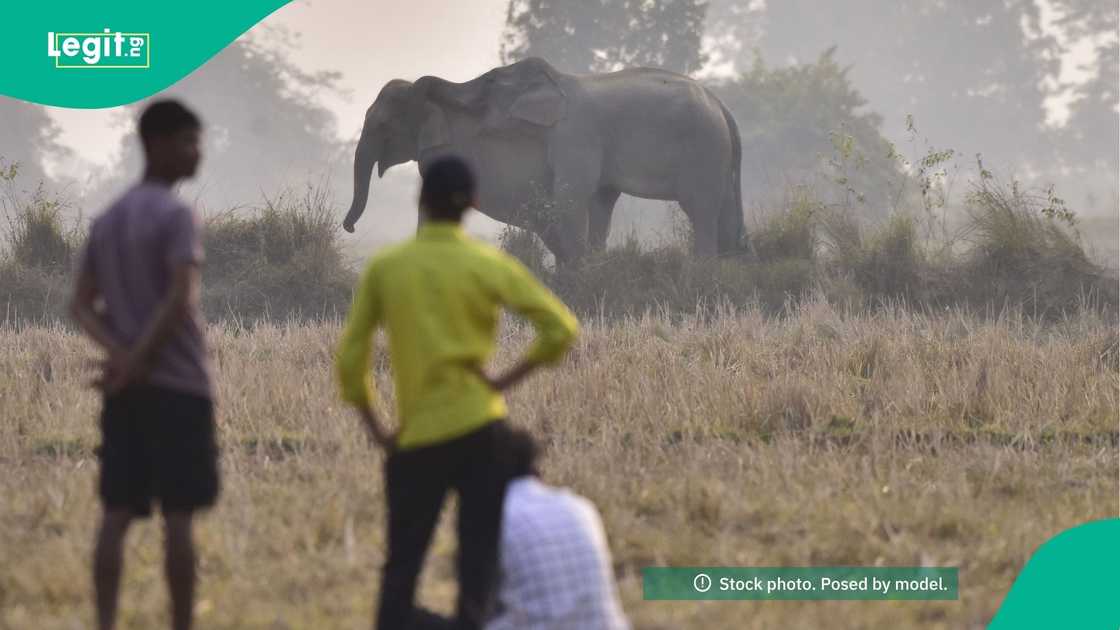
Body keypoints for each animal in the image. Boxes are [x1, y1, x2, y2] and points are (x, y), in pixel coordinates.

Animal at [343, 57, 746, 263]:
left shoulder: (575, 136)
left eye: (382, 125)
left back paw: (703, 271)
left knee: (700, 208)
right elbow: (588, 202)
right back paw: (731, 264)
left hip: (703, 149)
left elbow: (570, 198)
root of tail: (723, 107)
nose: (348, 229)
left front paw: (576, 277)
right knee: (718, 207)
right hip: (717, 155)